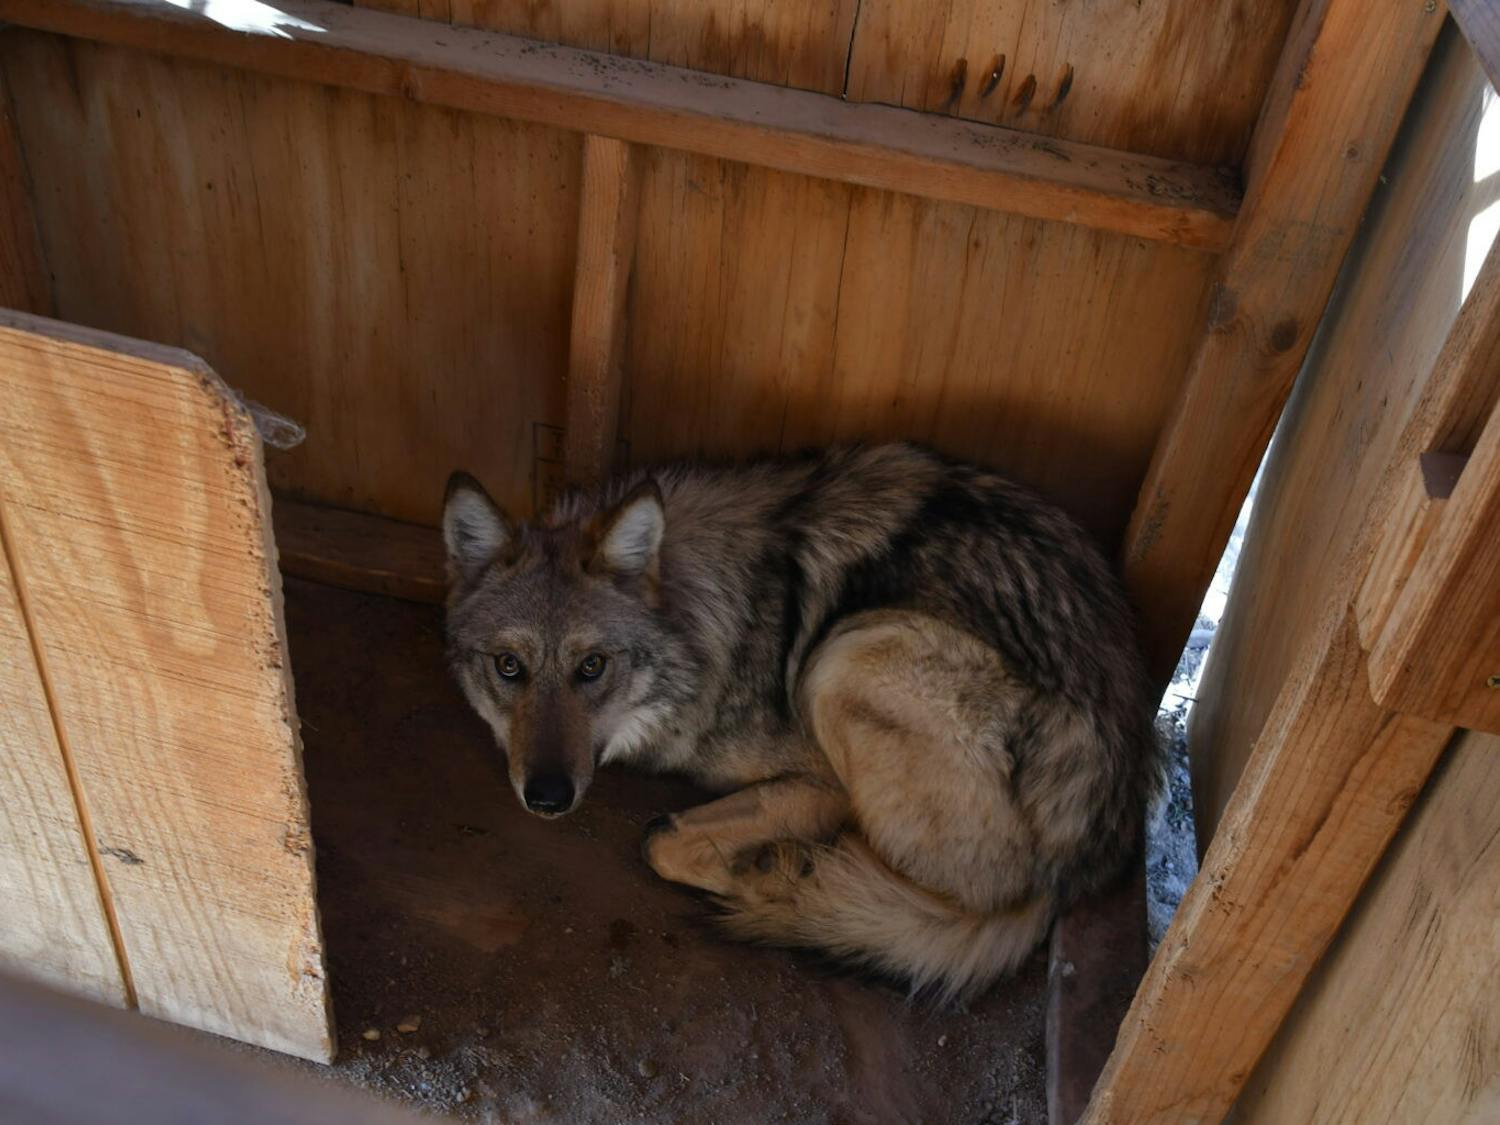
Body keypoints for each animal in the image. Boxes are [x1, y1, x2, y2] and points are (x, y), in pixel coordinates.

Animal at [441, 443, 1162, 999]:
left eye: (591, 667)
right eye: (509, 666)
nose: (548, 796)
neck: (706, 618)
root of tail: (1079, 867)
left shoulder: (822, 777)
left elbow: (662, 841)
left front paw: (753, 856)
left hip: (847, 656)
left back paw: (785, 874)